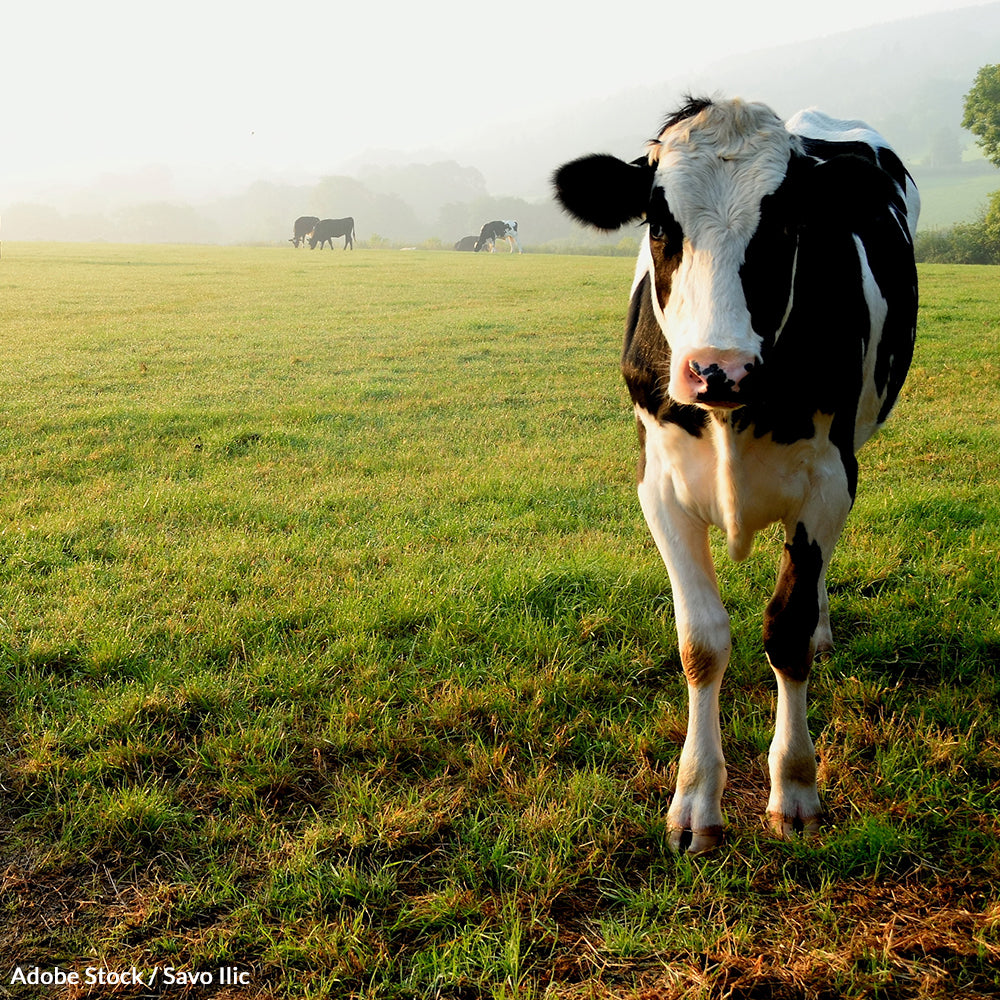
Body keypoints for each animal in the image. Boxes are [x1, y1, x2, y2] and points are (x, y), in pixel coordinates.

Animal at [556, 97, 920, 856]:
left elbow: (787, 627)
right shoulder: (659, 485)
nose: (717, 369)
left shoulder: (830, 478)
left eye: (787, 224)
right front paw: (695, 799)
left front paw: (797, 786)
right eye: (659, 223)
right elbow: (701, 642)